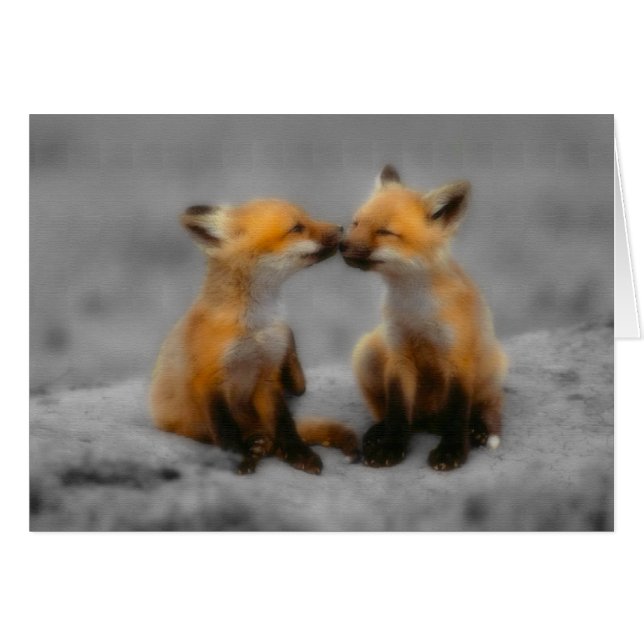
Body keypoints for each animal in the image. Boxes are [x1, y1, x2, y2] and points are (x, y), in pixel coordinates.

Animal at [150, 198, 359, 475]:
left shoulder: (267, 374)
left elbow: (284, 423)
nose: (341, 228)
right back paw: (256, 444)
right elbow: (225, 429)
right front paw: (235, 458)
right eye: (296, 228)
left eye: (308, 218)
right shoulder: (208, 379)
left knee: (276, 427)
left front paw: (298, 453)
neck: (254, 327)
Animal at [340, 165, 507, 471]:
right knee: (398, 415)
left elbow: (456, 413)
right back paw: (379, 431)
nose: (340, 244)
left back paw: (477, 428)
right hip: (367, 351)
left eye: (384, 232)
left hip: (493, 363)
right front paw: (392, 447)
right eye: (356, 223)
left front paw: (451, 452)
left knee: (487, 404)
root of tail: (429, 418)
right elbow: (397, 412)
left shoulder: (458, 358)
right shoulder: (398, 354)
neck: (416, 310)